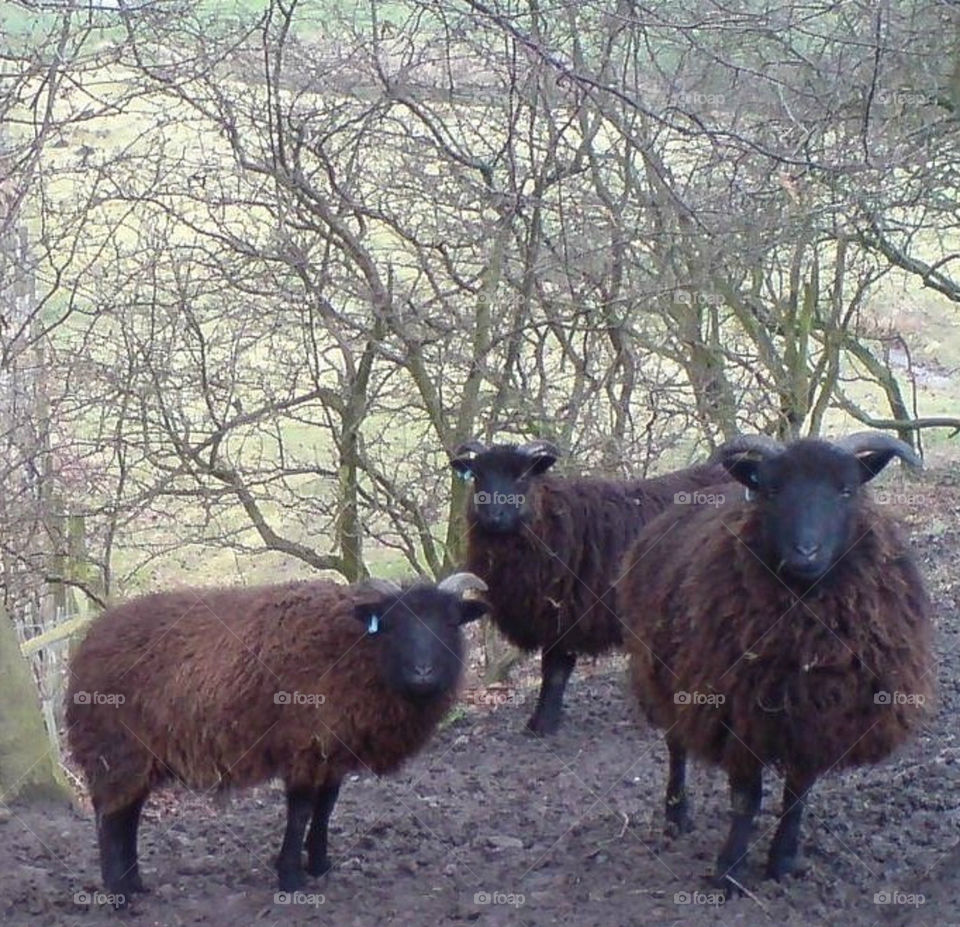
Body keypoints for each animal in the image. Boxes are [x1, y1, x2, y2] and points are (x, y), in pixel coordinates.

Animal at [65, 571, 488, 904]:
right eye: (393, 624)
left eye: (451, 622)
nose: (423, 673)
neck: (357, 653)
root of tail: (87, 642)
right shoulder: (305, 744)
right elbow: (300, 810)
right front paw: (290, 876)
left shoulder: (333, 752)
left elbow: (326, 807)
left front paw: (319, 864)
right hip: (115, 749)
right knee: (110, 818)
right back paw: (119, 895)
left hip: (139, 756)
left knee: (127, 816)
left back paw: (135, 884)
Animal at [449, 439, 727, 734]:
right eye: (477, 476)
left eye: (522, 476)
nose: (494, 516)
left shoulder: (565, 614)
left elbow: (556, 669)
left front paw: (543, 723)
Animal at [618, 432, 933, 890]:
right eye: (772, 489)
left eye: (846, 490)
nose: (806, 552)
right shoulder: (738, 712)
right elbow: (746, 797)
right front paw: (728, 871)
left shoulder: (820, 717)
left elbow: (798, 792)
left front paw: (782, 860)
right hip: (659, 673)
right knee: (676, 744)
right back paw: (676, 814)